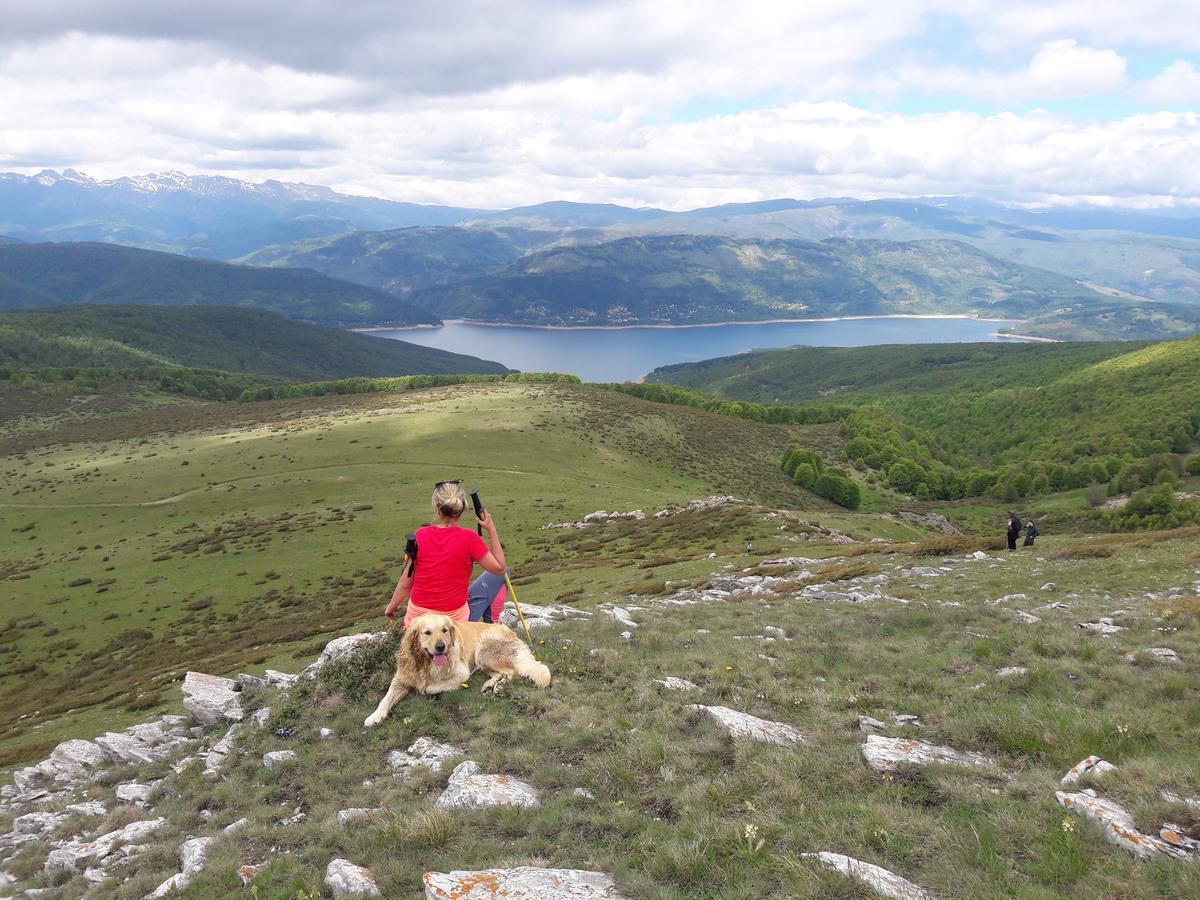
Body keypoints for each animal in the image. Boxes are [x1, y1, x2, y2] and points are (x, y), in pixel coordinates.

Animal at [362, 614, 549, 724]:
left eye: (444, 630)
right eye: (427, 632)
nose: (441, 647)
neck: (426, 664)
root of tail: (507, 628)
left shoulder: (461, 674)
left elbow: (430, 687)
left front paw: (423, 688)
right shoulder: (401, 678)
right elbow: (385, 699)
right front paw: (374, 716)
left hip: (483, 651)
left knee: (511, 672)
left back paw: (498, 686)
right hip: (482, 660)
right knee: (502, 673)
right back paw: (490, 684)